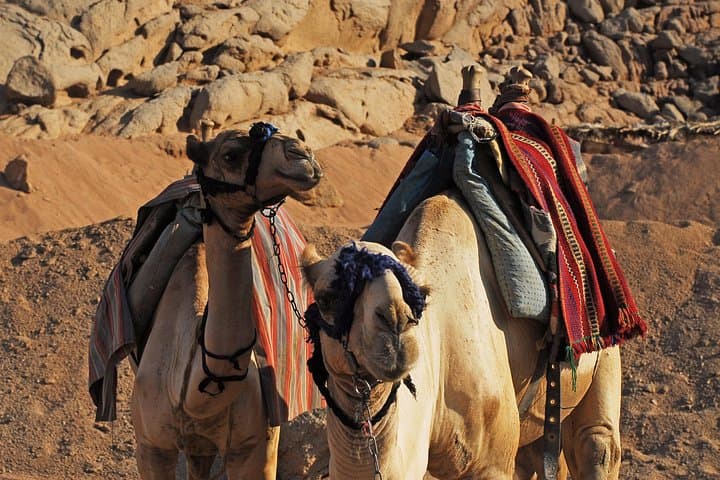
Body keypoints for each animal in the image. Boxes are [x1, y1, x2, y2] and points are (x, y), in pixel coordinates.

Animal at [301, 190, 622, 479]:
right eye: (326, 298)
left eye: (416, 295)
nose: (395, 323)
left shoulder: (492, 463)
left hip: (604, 352)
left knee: (596, 444)